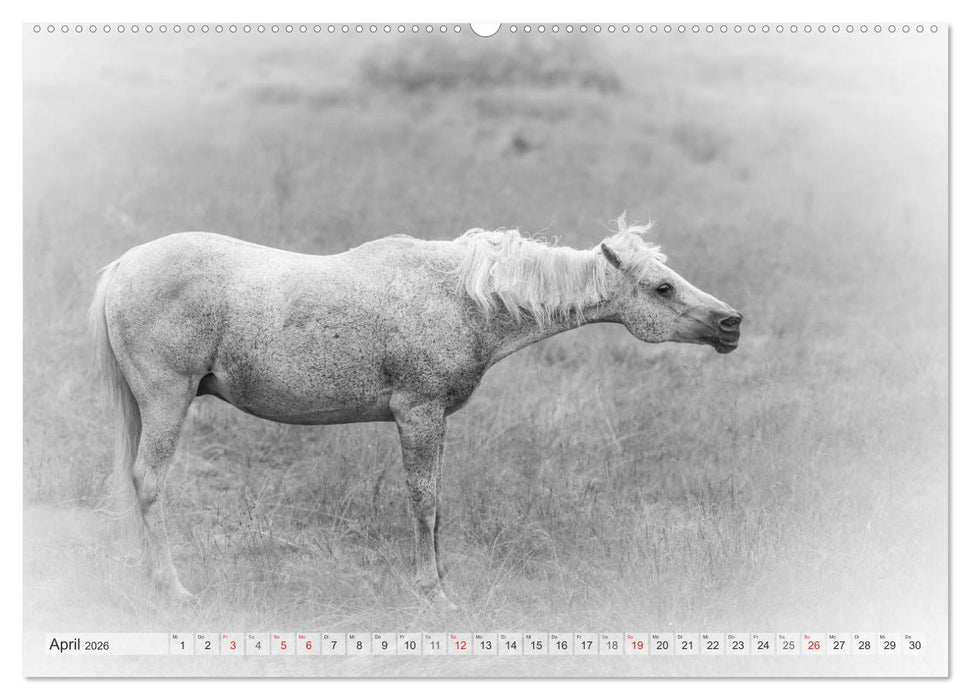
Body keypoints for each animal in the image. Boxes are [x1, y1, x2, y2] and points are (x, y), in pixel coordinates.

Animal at [89, 215, 742, 605]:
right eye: (662, 288)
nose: (731, 323)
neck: (466, 297)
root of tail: (123, 265)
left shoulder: (437, 420)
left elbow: (438, 502)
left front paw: (441, 579)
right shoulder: (419, 413)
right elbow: (423, 502)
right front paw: (432, 592)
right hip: (166, 400)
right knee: (149, 482)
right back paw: (172, 588)